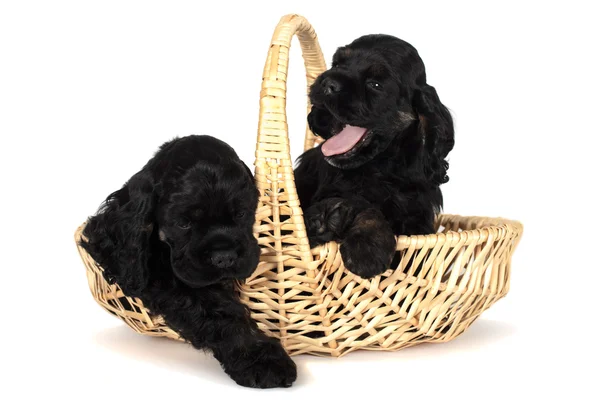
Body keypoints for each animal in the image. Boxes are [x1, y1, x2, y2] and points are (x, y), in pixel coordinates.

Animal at [82, 135, 298, 388]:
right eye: (183, 223)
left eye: (241, 214)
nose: (224, 258)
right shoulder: (162, 273)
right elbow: (217, 310)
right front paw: (261, 359)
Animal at [296, 34, 454, 278]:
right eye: (338, 64)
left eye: (375, 84)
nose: (327, 83)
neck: (381, 167)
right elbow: (364, 205)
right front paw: (367, 249)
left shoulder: (418, 217)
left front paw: (365, 250)